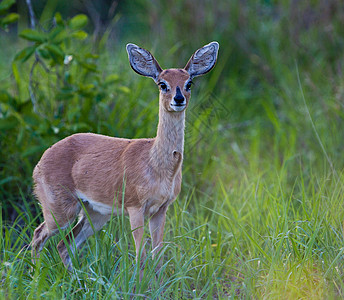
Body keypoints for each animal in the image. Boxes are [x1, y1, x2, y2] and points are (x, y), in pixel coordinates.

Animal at [30, 41, 219, 270]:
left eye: (189, 83)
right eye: (162, 84)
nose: (178, 98)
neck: (157, 165)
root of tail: (40, 162)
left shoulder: (161, 209)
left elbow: (157, 256)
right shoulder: (135, 207)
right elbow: (141, 256)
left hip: (95, 213)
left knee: (64, 246)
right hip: (60, 209)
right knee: (38, 236)